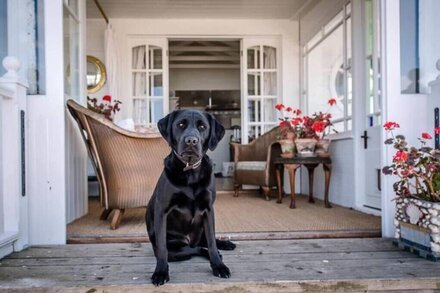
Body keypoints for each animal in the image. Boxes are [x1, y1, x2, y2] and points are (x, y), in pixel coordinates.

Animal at [147, 109, 237, 286]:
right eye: (180, 124)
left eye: (202, 126)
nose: (191, 141)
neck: (190, 171)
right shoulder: (162, 210)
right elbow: (162, 248)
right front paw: (160, 272)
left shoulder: (208, 210)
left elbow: (212, 241)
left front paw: (219, 266)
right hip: (177, 249)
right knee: (194, 249)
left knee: (206, 242)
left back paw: (224, 244)